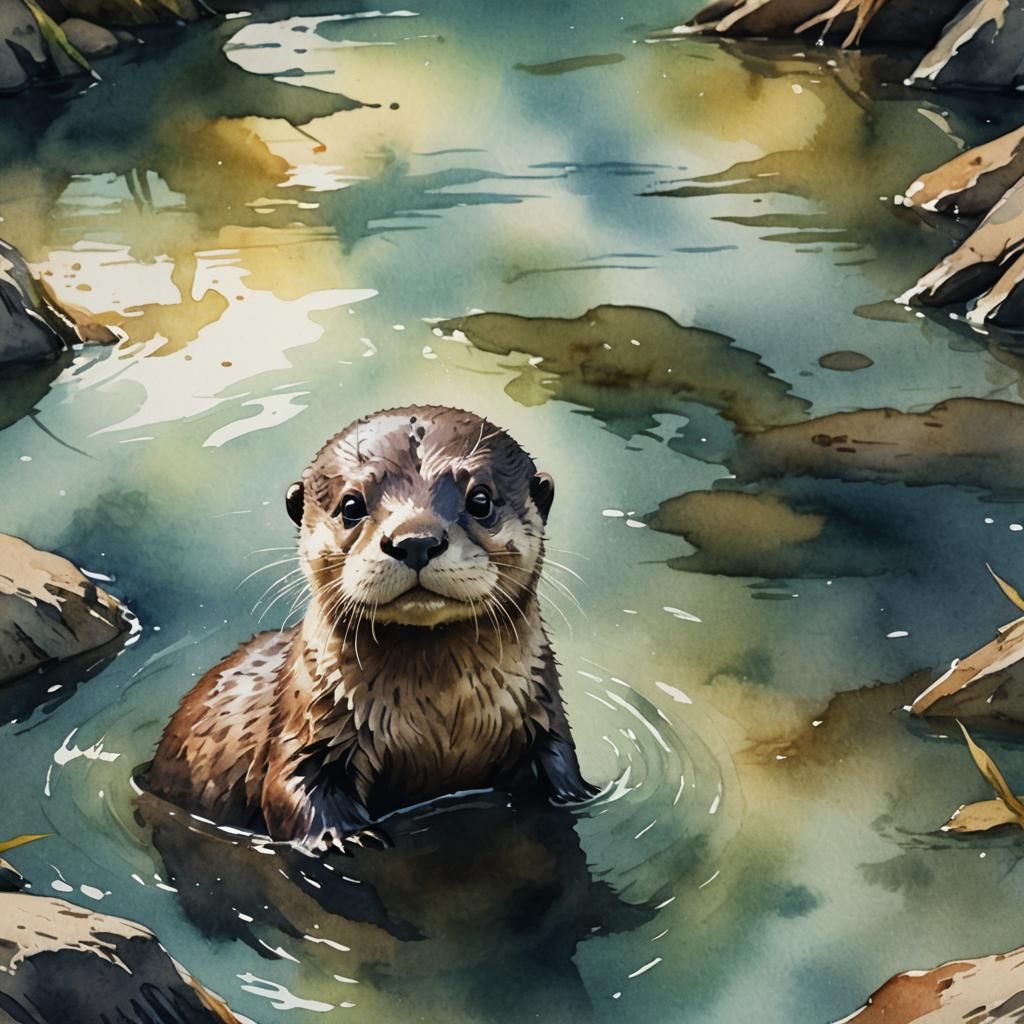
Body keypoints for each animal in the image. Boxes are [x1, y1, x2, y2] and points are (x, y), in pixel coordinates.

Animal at [149, 405, 597, 853]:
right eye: (351, 505)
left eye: (481, 500)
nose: (415, 540)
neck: (440, 721)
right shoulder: (307, 728)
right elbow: (293, 785)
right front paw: (346, 838)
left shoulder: (545, 717)